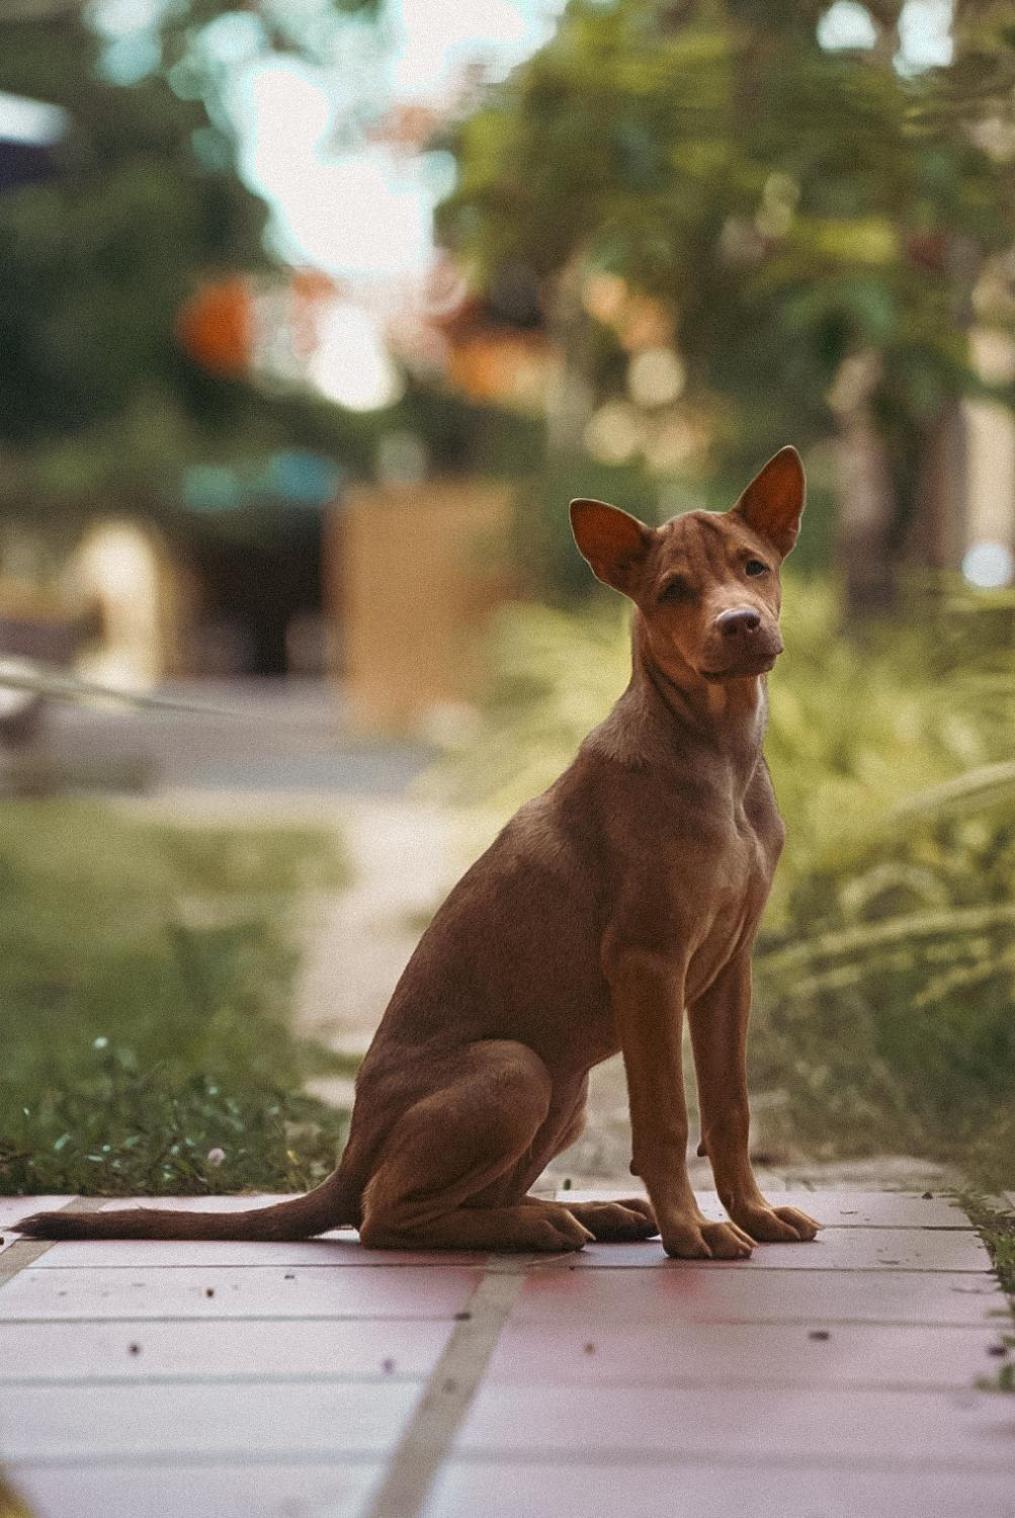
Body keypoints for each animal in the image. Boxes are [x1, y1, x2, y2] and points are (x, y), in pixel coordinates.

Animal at [19, 446, 819, 1256]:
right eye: (673, 590)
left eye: (753, 567)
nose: (741, 622)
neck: (718, 754)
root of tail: (348, 1157)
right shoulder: (647, 960)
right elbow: (665, 1117)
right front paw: (690, 1231)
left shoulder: (727, 969)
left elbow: (729, 1108)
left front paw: (753, 1214)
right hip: (515, 1068)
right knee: (386, 1218)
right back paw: (548, 1223)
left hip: (565, 1094)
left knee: (458, 1201)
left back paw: (589, 1214)